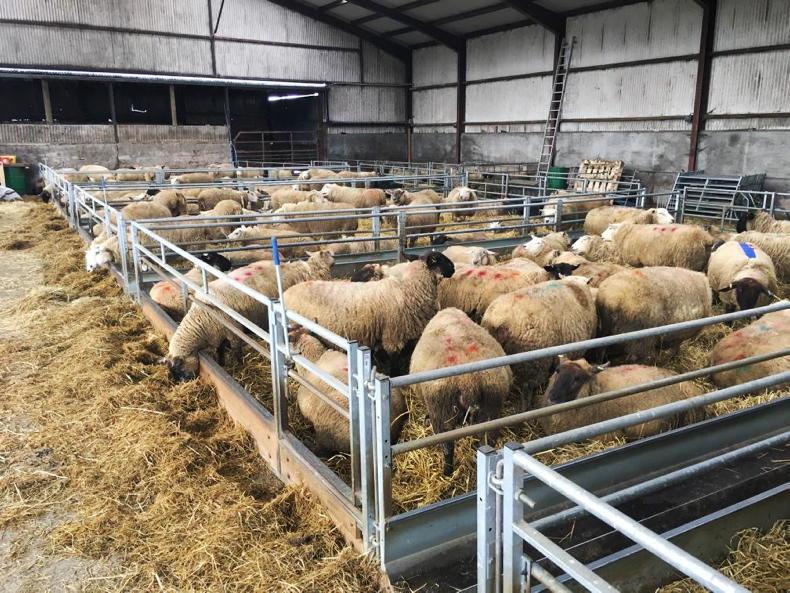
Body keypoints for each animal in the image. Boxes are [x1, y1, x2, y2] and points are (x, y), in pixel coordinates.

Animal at [163, 250, 335, 381]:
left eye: (179, 369)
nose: (184, 382)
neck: (200, 318)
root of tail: (302, 267)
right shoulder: (218, 334)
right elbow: (220, 352)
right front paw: (222, 364)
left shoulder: (234, 332)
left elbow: (237, 352)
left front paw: (240, 366)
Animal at [283, 252, 454, 369]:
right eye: (439, 259)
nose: (453, 267)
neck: (409, 289)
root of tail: (286, 293)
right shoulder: (393, 337)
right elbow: (395, 365)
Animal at [410, 308, 513, 475]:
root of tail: (468, 381)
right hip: (491, 410)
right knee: (487, 441)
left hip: (442, 412)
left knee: (447, 446)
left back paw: (447, 472)